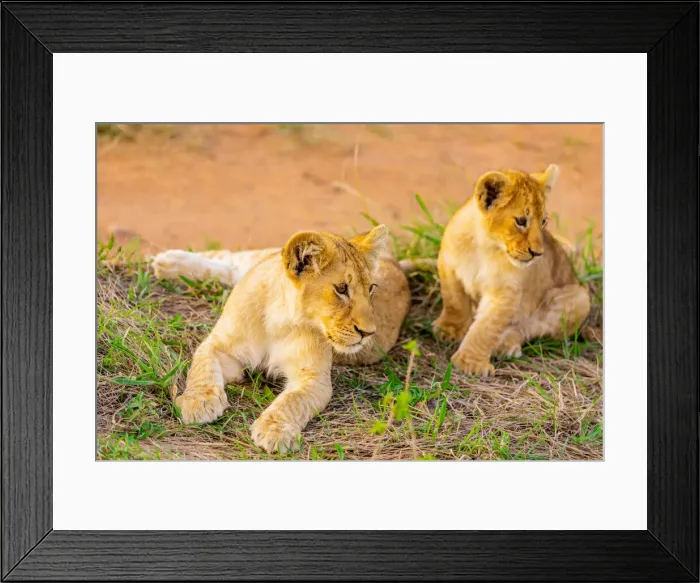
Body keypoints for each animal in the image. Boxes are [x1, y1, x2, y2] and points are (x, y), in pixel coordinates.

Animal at [151, 225, 411, 453]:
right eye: (341, 289)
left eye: (371, 289)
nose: (369, 333)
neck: (280, 319)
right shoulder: (218, 345)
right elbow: (202, 368)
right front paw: (197, 403)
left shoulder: (314, 378)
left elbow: (292, 401)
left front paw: (274, 431)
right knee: (231, 259)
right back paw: (167, 262)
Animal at [433, 164, 591, 377]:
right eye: (521, 221)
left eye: (543, 221)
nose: (538, 253)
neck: (485, 246)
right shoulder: (449, 265)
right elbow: (454, 302)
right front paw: (448, 330)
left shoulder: (505, 292)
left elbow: (486, 328)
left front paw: (470, 364)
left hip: (579, 298)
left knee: (527, 327)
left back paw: (505, 345)